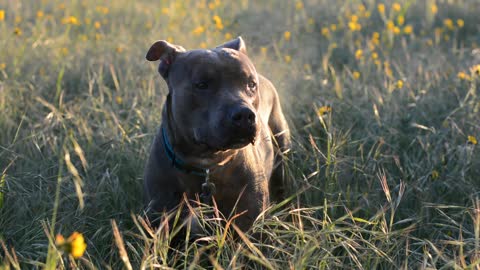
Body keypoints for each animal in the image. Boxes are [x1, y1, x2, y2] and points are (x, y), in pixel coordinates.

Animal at [142, 37, 290, 233]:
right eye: (202, 84)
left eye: (251, 84)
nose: (245, 115)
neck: (206, 163)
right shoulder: (160, 216)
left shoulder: (249, 224)